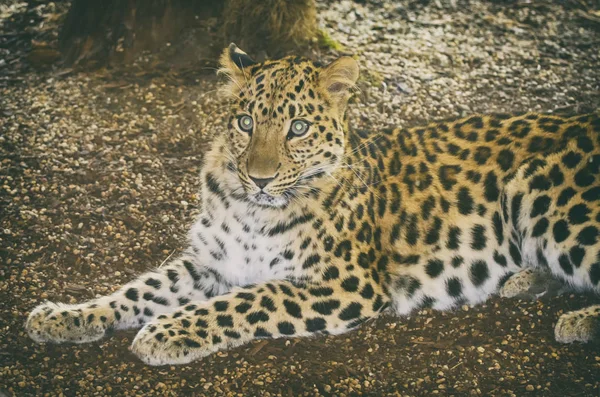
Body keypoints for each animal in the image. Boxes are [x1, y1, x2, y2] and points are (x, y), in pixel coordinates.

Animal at [25, 44, 600, 366]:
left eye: (298, 128)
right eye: (245, 122)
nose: (258, 178)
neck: (252, 210)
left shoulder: (344, 283)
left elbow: (243, 301)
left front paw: (164, 332)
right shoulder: (208, 263)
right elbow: (136, 289)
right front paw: (64, 316)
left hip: (544, 198)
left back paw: (575, 319)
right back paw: (525, 281)